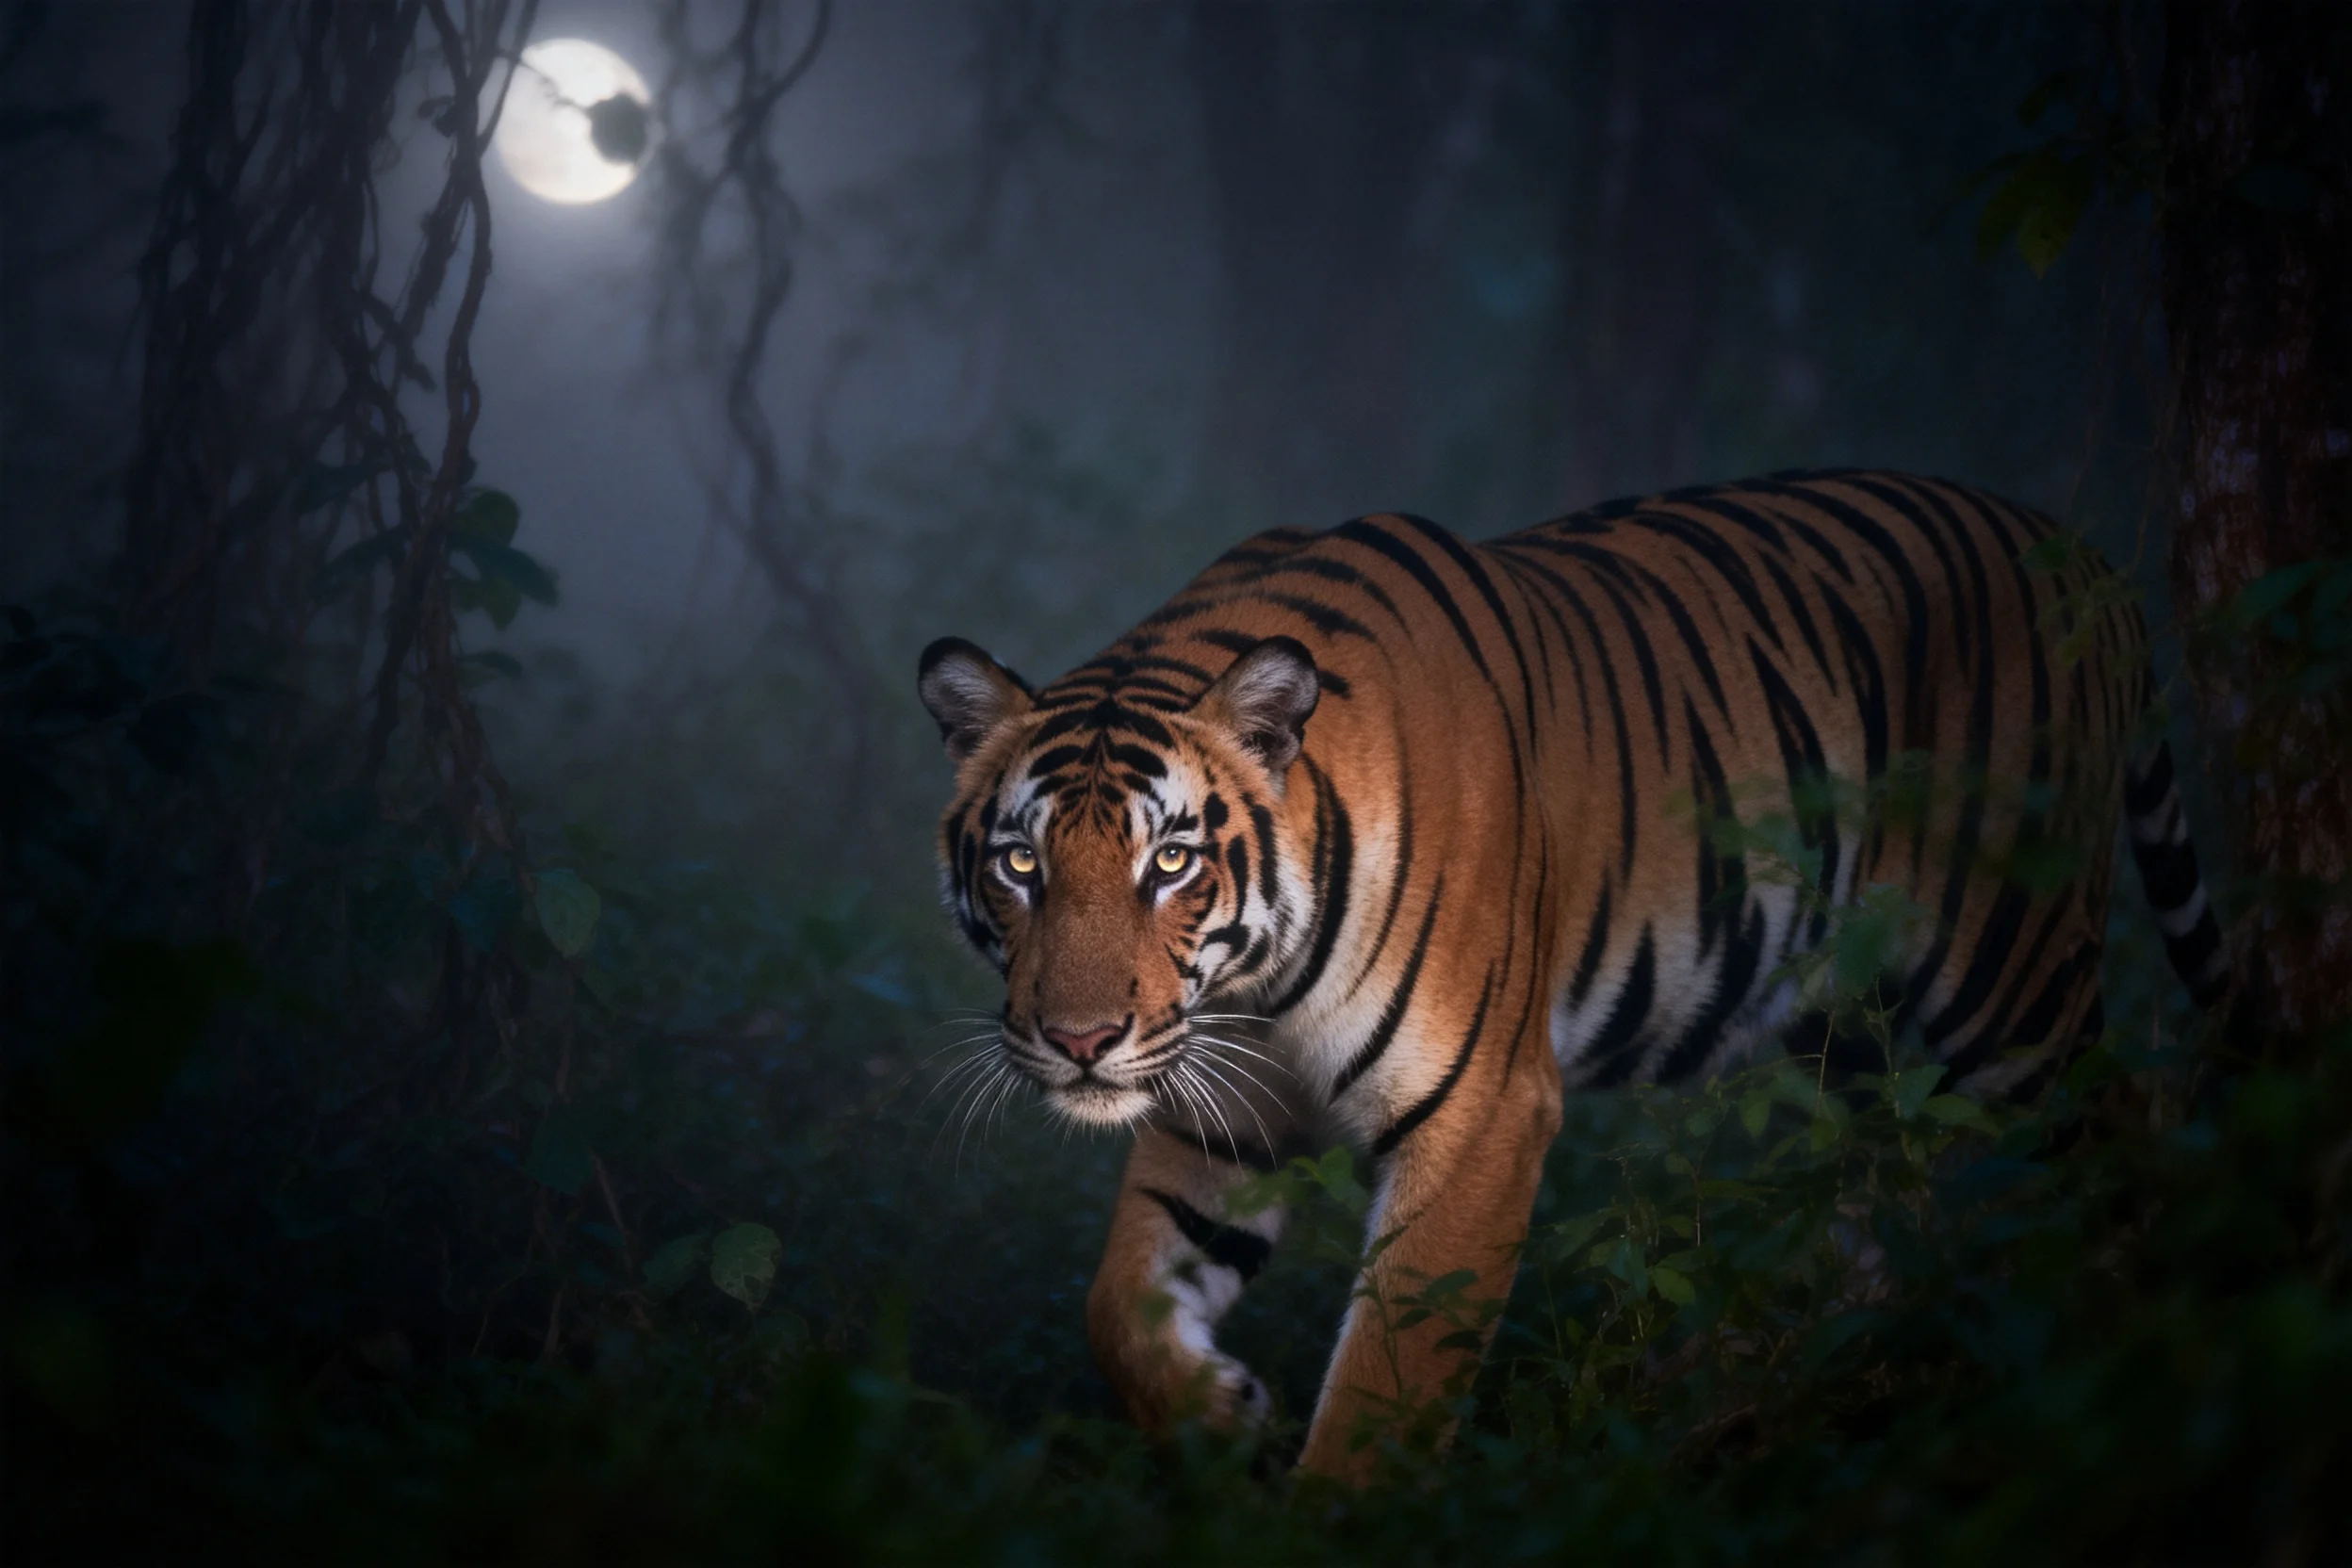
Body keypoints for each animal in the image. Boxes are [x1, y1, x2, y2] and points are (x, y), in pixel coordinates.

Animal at [917, 469, 2226, 1480]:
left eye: (1171, 861)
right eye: (1023, 862)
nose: (1081, 1040)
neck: (1254, 985)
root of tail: (2078, 550)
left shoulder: (1482, 1112)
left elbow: (1385, 1390)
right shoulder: (1226, 1109)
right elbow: (1118, 1306)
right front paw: (1220, 1416)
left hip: (2010, 970)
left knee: (2125, 1128)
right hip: (1852, 1034)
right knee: (1878, 1191)